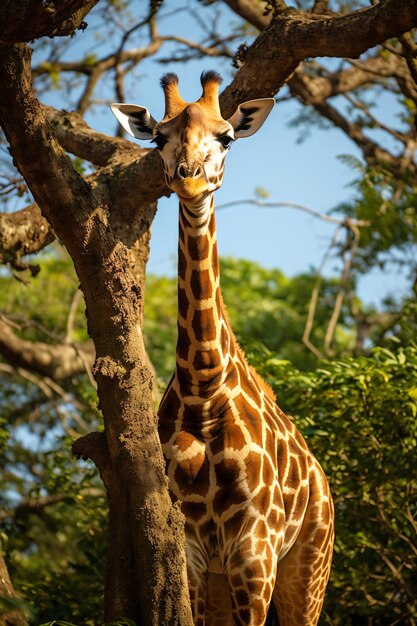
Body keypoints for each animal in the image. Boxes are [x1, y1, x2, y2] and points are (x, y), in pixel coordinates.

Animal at [111, 72, 334, 624]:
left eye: (227, 137)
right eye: (158, 138)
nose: (189, 179)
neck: (204, 388)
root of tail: (323, 482)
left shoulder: (255, 547)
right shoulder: (193, 546)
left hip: (308, 567)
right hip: (224, 576)